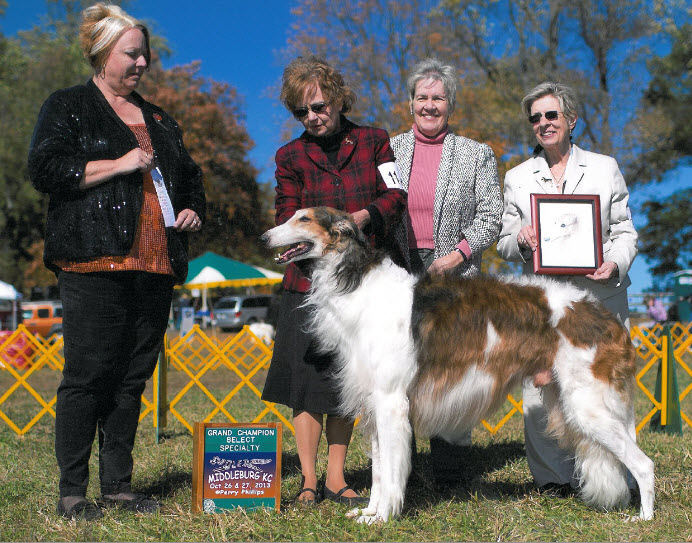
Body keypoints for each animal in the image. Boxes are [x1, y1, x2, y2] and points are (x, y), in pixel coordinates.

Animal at [260, 207, 656, 524]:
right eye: (292, 215)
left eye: (303, 218)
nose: (264, 236)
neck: (359, 285)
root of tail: (607, 318)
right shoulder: (375, 404)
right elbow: (378, 473)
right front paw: (369, 513)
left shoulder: (391, 403)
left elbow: (391, 472)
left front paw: (384, 518)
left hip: (588, 405)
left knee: (644, 464)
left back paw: (644, 518)